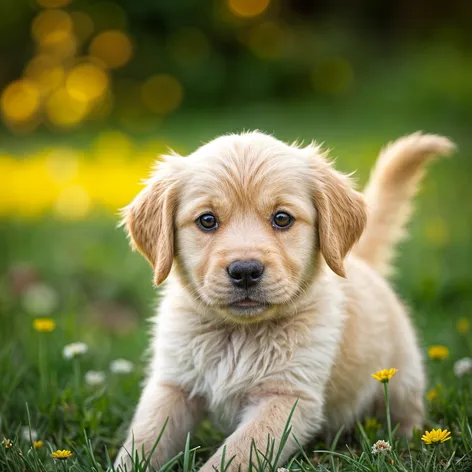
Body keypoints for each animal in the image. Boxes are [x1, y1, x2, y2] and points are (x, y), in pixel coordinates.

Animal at [114, 131, 454, 470]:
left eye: (282, 218)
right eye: (207, 220)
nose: (245, 271)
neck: (238, 334)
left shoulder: (288, 398)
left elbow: (233, 454)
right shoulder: (172, 384)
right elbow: (144, 440)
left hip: (401, 378)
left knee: (407, 411)